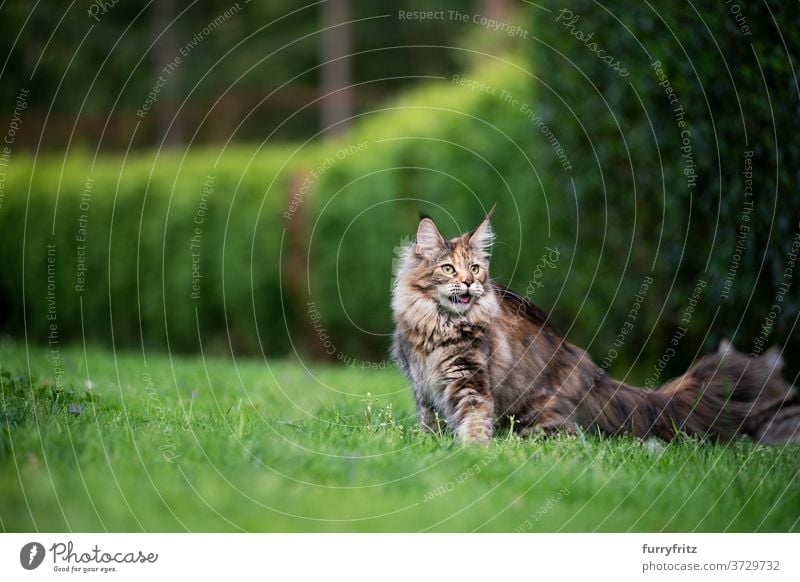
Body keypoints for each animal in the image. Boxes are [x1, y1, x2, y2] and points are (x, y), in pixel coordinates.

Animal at [390, 212, 796, 444]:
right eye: (448, 269)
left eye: (475, 268)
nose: (470, 283)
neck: (437, 327)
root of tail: (587, 369)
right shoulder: (423, 389)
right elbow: (430, 425)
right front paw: (431, 446)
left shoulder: (469, 381)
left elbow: (474, 418)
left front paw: (474, 452)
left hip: (537, 413)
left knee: (569, 438)